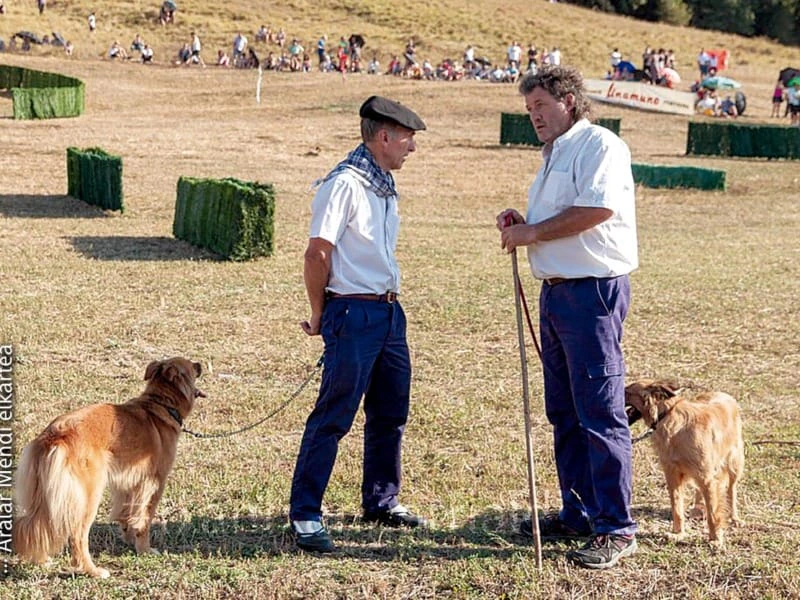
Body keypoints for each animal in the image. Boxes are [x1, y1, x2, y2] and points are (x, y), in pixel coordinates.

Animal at [13, 356, 205, 576]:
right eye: (191, 365)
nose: (200, 364)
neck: (160, 404)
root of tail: (55, 436)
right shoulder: (153, 483)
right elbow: (144, 519)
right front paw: (145, 549)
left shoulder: (129, 483)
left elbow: (126, 514)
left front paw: (129, 539)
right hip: (88, 497)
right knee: (77, 536)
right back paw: (92, 570)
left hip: (46, 496)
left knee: (33, 526)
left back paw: (41, 560)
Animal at [624, 382, 744, 548]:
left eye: (627, 392)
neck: (667, 417)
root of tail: (725, 395)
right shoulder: (672, 475)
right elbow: (677, 507)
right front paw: (678, 533)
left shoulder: (707, 476)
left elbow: (713, 513)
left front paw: (715, 539)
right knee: (700, 490)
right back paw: (697, 509)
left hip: (734, 461)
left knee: (731, 489)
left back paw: (735, 517)